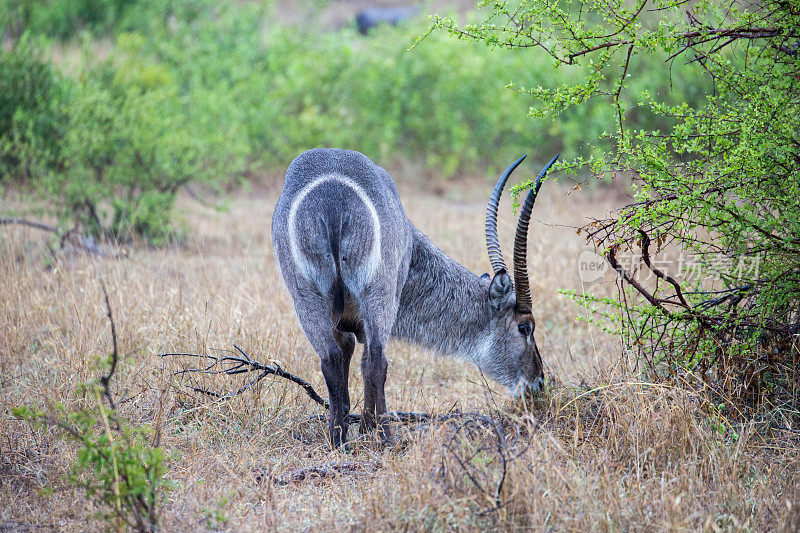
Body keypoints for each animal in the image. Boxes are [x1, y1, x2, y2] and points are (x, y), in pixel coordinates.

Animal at [270, 148, 556, 442]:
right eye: (525, 327)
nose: (539, 383)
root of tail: (331, 194)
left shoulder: (345, 324)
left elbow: (348, 356)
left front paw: (351, 426)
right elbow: (367, 360)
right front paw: (367, 428)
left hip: (307, 297)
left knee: (330, 358)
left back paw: (337, 441)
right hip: (378, 293)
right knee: (377, 360)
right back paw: (386, 438)